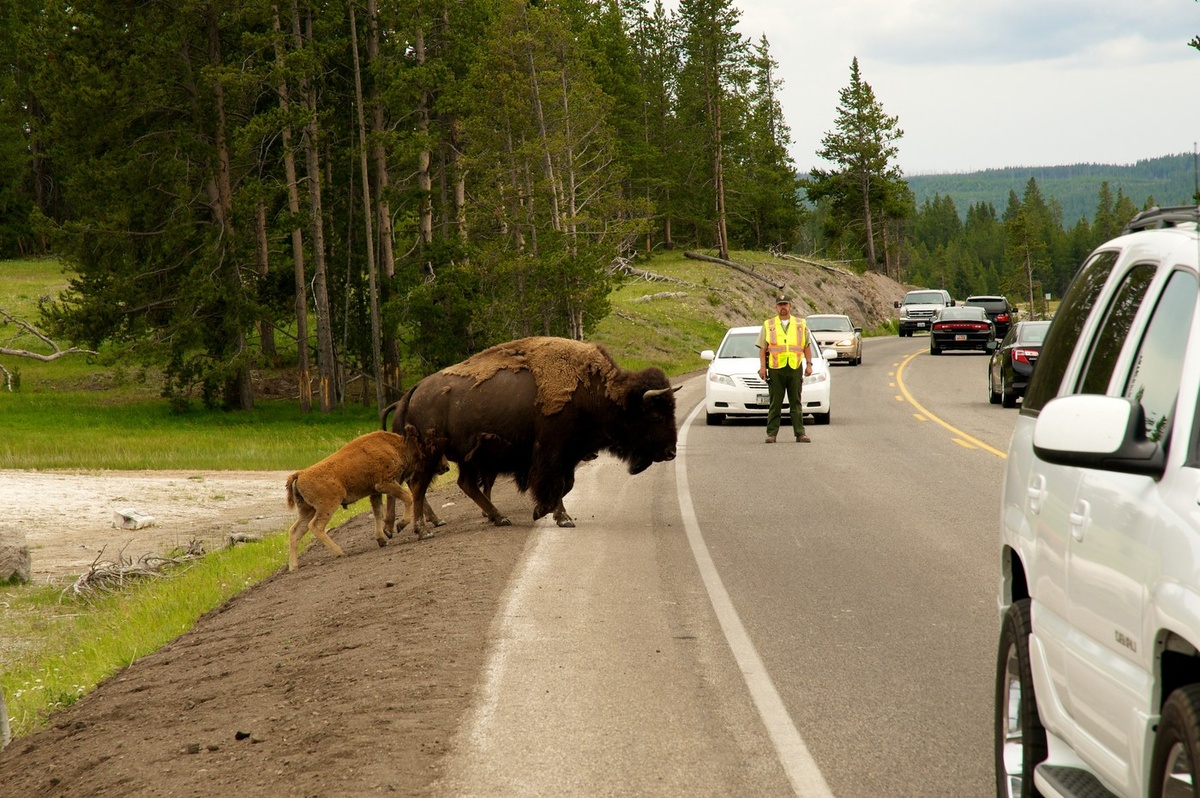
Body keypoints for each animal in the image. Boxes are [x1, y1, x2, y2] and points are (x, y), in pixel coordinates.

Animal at [283, 429, 424, 573]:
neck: (393, 444)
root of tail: (300, 474)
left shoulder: (375, 492)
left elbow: (378, 513)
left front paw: (382, 540)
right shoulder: (385, 484)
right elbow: (407, 497)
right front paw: (400, 525)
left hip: (307, 510)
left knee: (295, 531)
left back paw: (293, 567)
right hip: (328, 506)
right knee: (315, 526)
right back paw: (340, 552)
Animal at [384, 333, 686, 537]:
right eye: (655, 416)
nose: (671, 452)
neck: (595, 391)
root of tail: (415, 390)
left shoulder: (569, 454)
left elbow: (566, 484)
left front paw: (543, 511)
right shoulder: (553, 452)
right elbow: (556, 484)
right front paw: (560, 517)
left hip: (466, 456)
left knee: (465, 484)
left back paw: (499, 517)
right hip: (432, 452)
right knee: (419, 485)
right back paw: (422, 530)